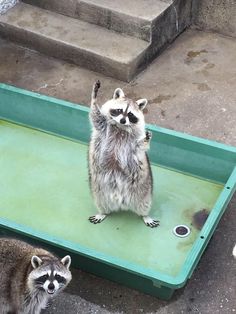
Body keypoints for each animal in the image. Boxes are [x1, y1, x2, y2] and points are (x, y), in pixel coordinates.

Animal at [89, 80, 160, 228]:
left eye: (131, 115)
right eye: (119, 111)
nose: (122, 120)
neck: (120, 127)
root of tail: (121, 202)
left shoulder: (134, 143)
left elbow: (140, 146)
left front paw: (146, 139)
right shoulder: (103, 126)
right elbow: (95, 116)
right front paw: (94, 96)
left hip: (144, 191)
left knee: (144, 204)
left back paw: (145, 216)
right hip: (98, 190)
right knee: (101, 202)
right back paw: (103, 212)